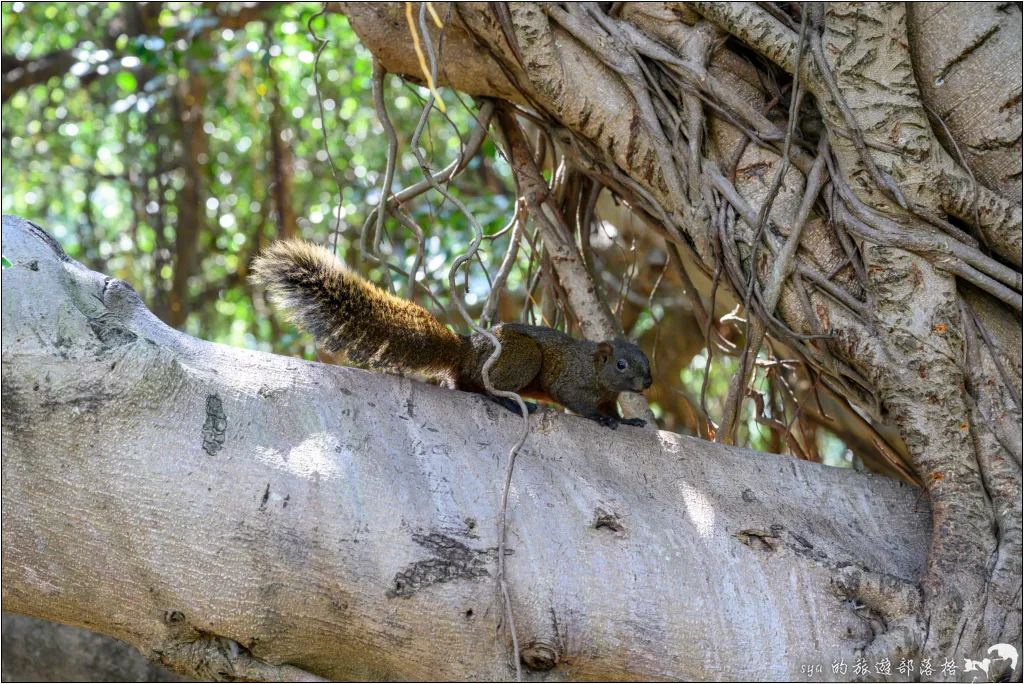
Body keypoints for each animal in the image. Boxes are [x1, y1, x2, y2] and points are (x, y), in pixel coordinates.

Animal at [251, 240, 655, 430]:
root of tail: (466, 349)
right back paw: (509, 402)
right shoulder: (572, 379)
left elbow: (611, 408)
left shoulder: (608, 395)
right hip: (522, 356)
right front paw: (602, 420)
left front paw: (626, 420)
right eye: (621, 364)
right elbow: (577, 402)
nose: (649, 383)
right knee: (480, 387)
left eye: (646, 360)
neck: (597, 373)